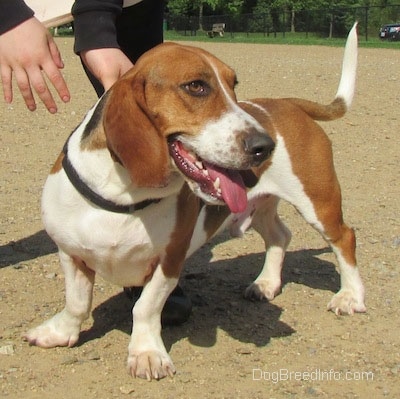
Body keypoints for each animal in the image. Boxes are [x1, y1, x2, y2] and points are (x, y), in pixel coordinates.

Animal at [23, 24, 364, 382]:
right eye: (196, 86)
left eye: (233, 84)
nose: (265, 146)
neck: (124, 196)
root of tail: (286, 103)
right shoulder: (70, 252)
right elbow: (76, 303)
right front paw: (60, 333)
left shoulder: (170, 260)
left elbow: (145, 308)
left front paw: (146, 353)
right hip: (259, 207)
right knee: (280, 236)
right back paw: (266, 284)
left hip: (318, 201)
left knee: (344, 238)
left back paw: (350, 296)